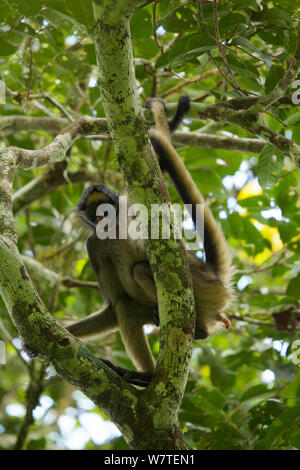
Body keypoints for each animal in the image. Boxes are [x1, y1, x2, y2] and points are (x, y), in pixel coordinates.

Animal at [67, 95, 233, 386]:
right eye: (93, 212)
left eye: (105, 208)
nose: (102, 218)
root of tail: (212, 274)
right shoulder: (94, 246)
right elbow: (114, 306)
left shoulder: (128, 198)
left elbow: (158, 162)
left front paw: (167, 118)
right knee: (125, 307)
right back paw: (145, 375)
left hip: (204, 288)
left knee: (142, 269)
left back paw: (197, 330)